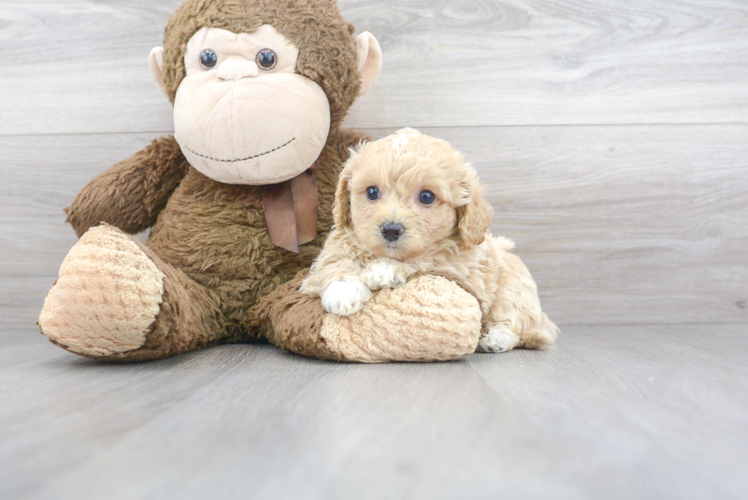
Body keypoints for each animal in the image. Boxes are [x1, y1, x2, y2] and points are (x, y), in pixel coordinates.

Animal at [300, 128, 560, 352]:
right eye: (372, 192)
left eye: (426, 197)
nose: (391, 229)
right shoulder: (341, 237)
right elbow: (334, 258)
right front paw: (343, 291)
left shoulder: (459, 265)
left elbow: (427, 258)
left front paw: (383, 270)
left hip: (514, 291)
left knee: (513, 321)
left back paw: (497, 338)